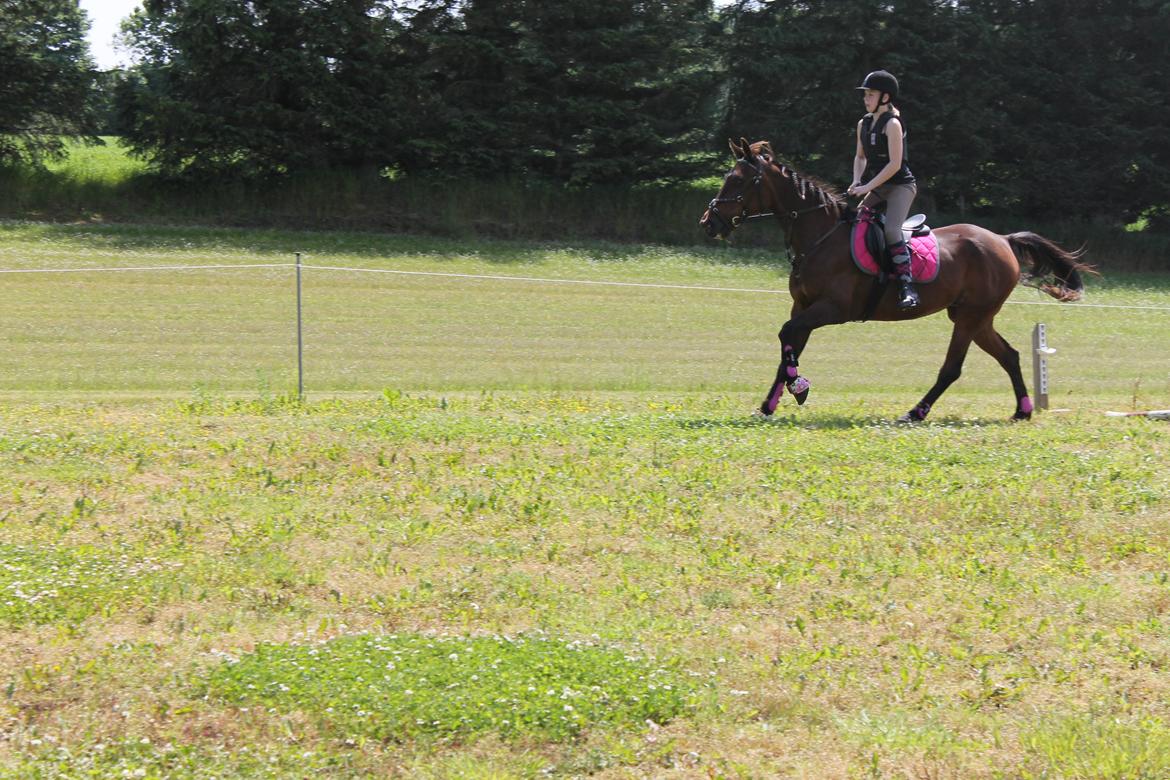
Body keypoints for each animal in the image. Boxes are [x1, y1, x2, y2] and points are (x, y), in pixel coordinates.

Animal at [697, 139, 1090, 420]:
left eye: (737, 181)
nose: (708, 223)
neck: (820, 236)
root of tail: (1003, 240)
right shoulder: (803, 306)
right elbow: (787, 347)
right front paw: (772, 403)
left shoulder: (833, 309)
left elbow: (786, 335)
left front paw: (800, 387)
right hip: (975, 316)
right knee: (1009, 355)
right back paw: (1022, 411)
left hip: (970, 316)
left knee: (953, 368)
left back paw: (916, 412)